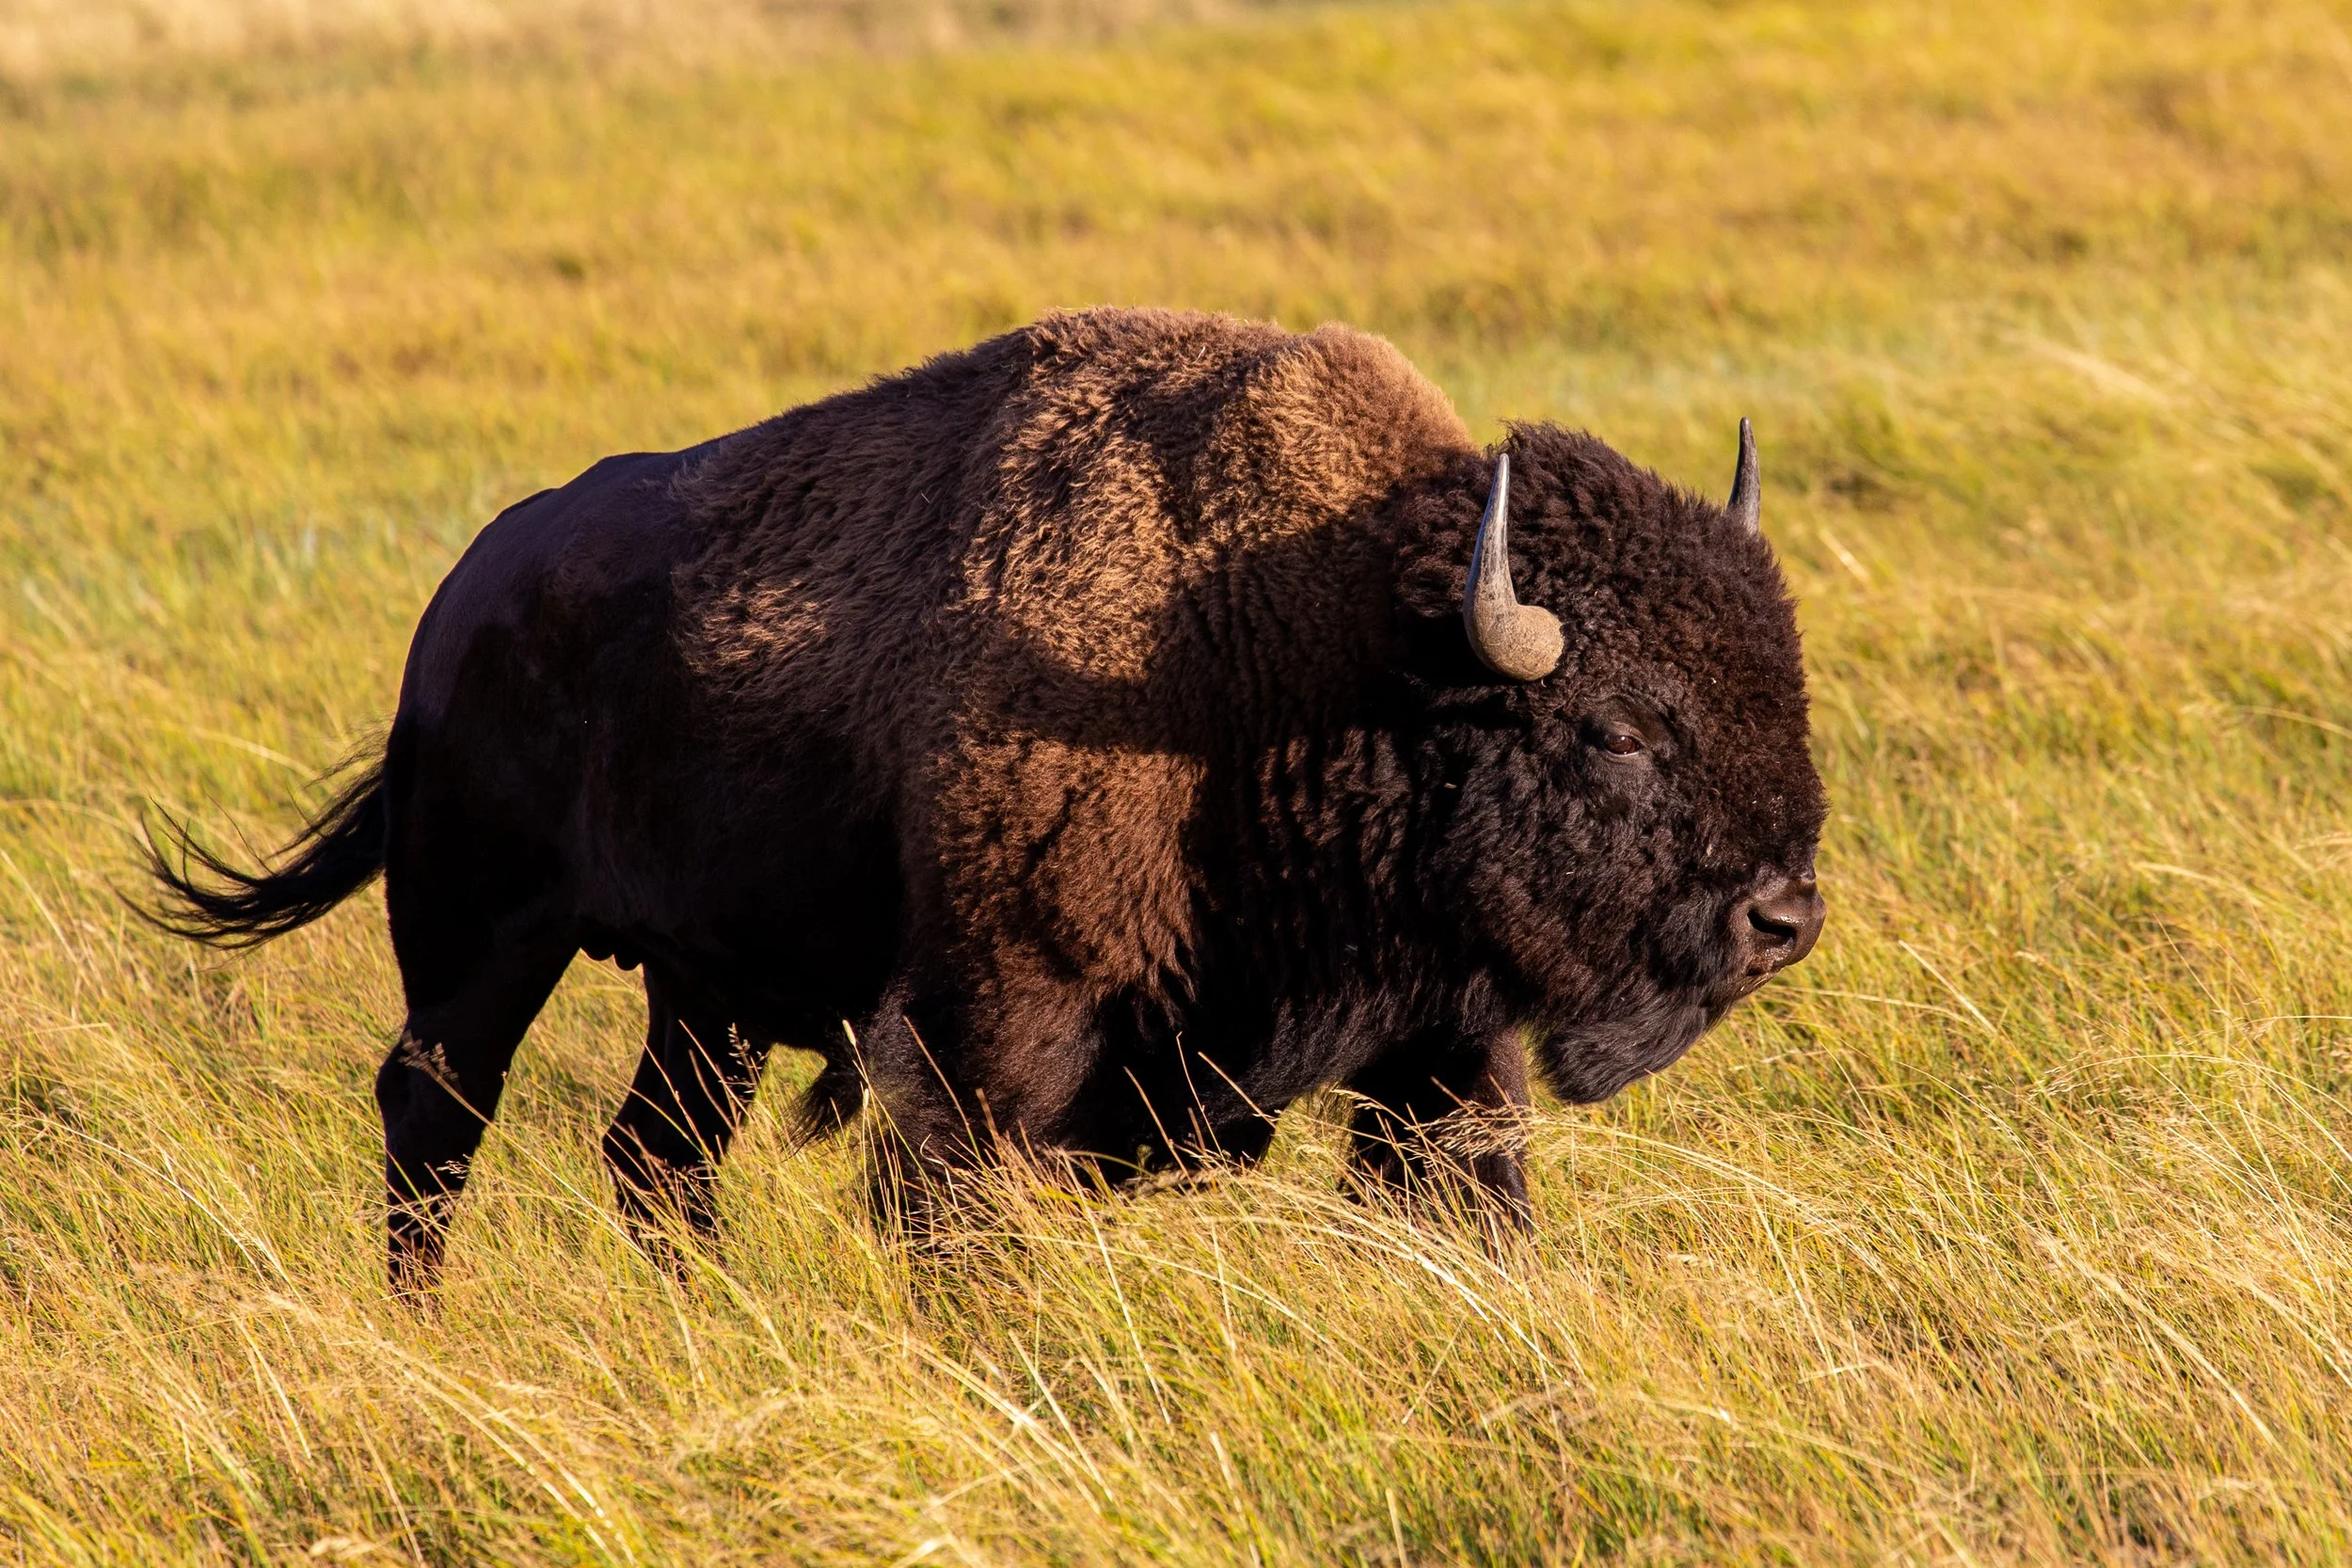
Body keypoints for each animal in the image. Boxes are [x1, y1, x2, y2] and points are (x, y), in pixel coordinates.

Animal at [148, 308, 1827, 1292]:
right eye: (1619, 726)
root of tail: (461, 601)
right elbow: (961, 1219)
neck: (1307, 640)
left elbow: (1469, 1202)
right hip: (481, 936)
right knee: (436, 1115)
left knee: (655, 1155)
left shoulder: (1445, 1041)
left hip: (703, 989)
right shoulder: (994, 1027)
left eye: (1783, 675)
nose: (1785, 915)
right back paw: (424, 1319)